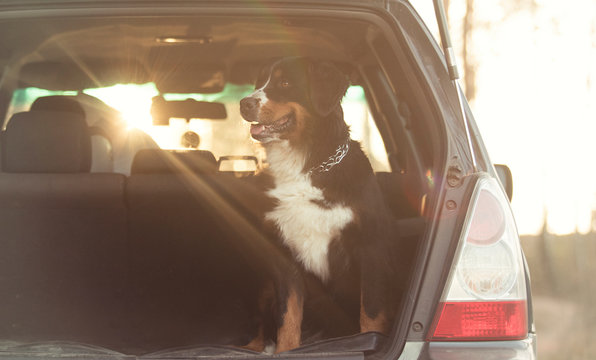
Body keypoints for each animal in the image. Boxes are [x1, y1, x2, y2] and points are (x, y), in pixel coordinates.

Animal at [237, 57, 400, 352]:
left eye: (285, 82)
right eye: (260, 82)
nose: (244, 103)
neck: (305, 170)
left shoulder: (370, 248)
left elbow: (370, 313)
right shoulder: (285, 255)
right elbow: (288, 317)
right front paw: (286, 350)